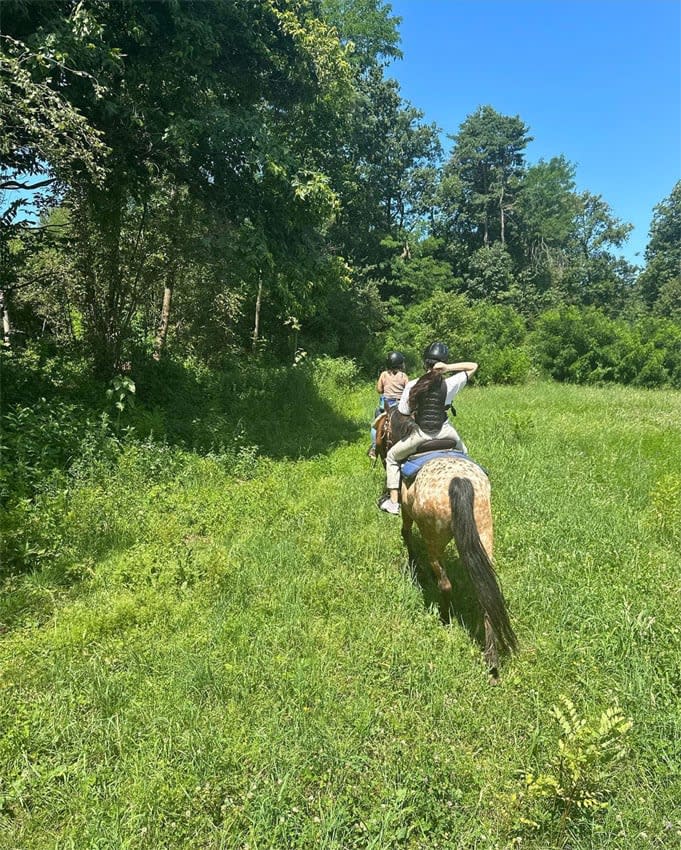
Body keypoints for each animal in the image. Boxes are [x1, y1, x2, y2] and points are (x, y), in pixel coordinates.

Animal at [378, 408, 516, 680]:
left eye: (382, 426)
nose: (375, 451)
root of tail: (459, 481)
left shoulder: (407, 513)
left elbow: (405, 533)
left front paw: (413, 564)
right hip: (484, 535)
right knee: (486, 593)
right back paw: (492, 659)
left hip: (435, 541)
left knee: (445, 583)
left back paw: (444, 617)